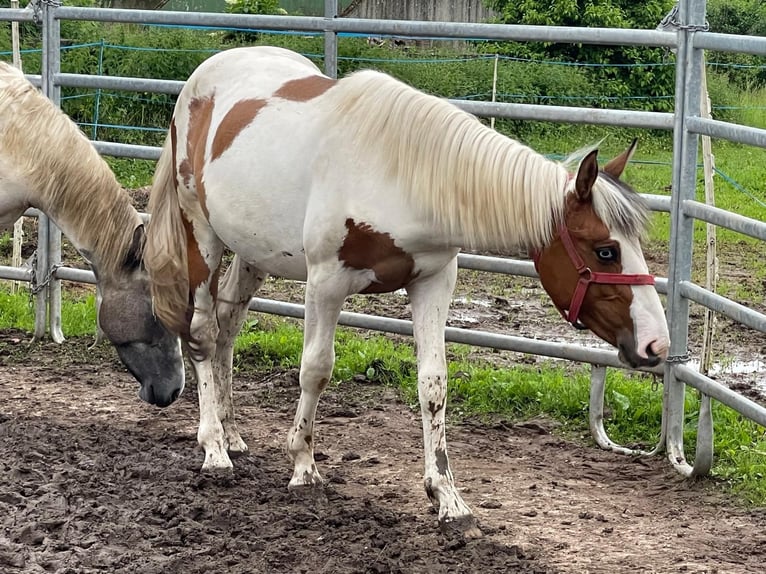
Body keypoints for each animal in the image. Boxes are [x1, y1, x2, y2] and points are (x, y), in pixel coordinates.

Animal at [146, 47, 672, 536]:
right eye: (606, 251)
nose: (656, 345)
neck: (401, 175)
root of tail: (205, 75)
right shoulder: (326, 282)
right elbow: (316, 370)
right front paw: (303, 466)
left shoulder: (433, 281)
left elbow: (433, 384)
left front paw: (448, 498)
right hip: (202, 235)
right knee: (203, 332)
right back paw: (214, 448)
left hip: (252, 252)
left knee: (229, 325)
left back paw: (233, 433)